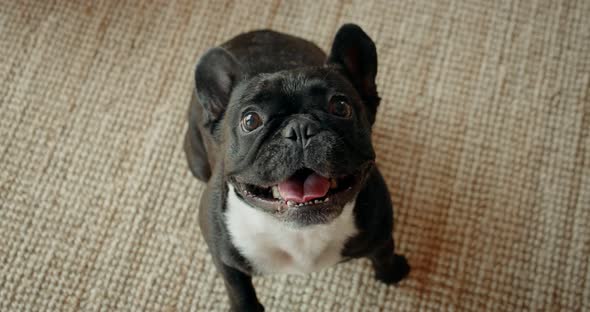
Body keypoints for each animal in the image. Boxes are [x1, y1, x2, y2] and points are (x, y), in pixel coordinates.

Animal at [185, 23, 412, 310]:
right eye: (250, 121)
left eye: (340, 106)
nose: (299, 128)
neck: (300, 232)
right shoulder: (227, 261)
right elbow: (238, 290)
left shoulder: (381, 230)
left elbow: (383, 253)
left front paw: (392, 273)